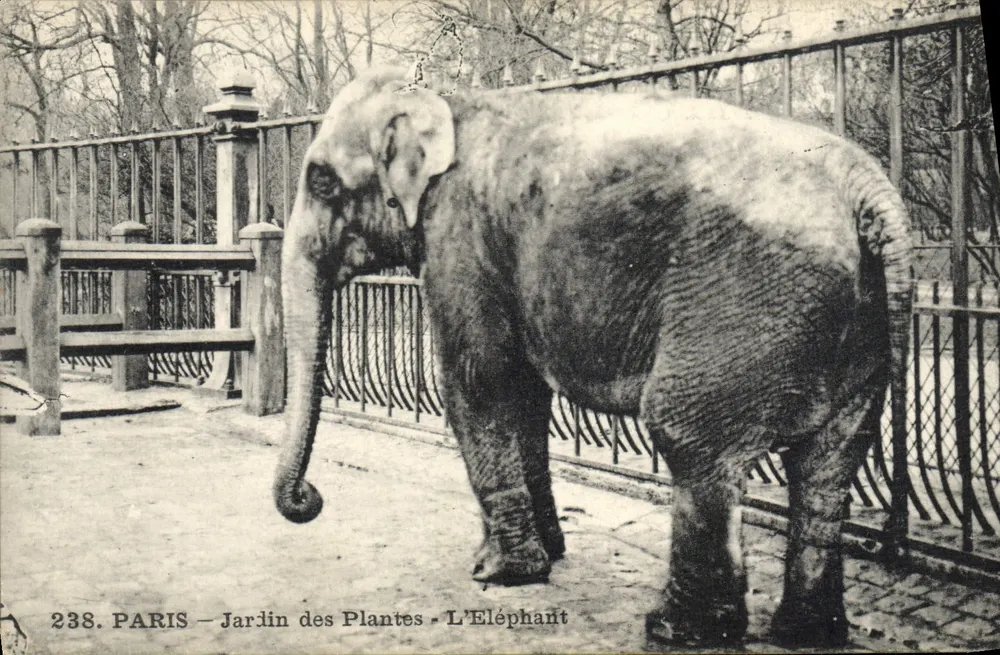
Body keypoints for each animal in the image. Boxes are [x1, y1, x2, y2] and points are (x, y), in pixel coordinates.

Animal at [272, 67, 912, 649]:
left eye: (321, 182)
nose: (310, 498)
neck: (446, 99)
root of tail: (867, 190)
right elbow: (524, 395)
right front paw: (545, 556)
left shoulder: (459, 238)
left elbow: (479, 382)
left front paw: (497, 574)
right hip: (859, 327)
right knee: (830, 460)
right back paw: (806, 633)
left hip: (745, 300)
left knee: (689, 434)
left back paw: (675, 630)